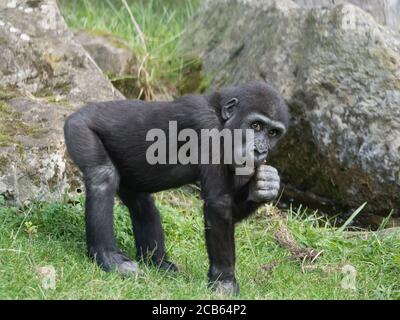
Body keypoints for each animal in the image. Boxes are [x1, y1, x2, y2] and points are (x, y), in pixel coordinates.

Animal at [64, 81, 288, 296]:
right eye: (256, 125)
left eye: (273, 133)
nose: (261, 150)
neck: (221, 116)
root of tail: (75, 113)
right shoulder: (207, 129)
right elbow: (219, 204)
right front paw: (224, 280)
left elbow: (230, 209)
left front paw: (263, 186)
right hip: (79, 129)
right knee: (103, 177)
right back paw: (107, 256)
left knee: (141, 204)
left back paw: (156, 262)